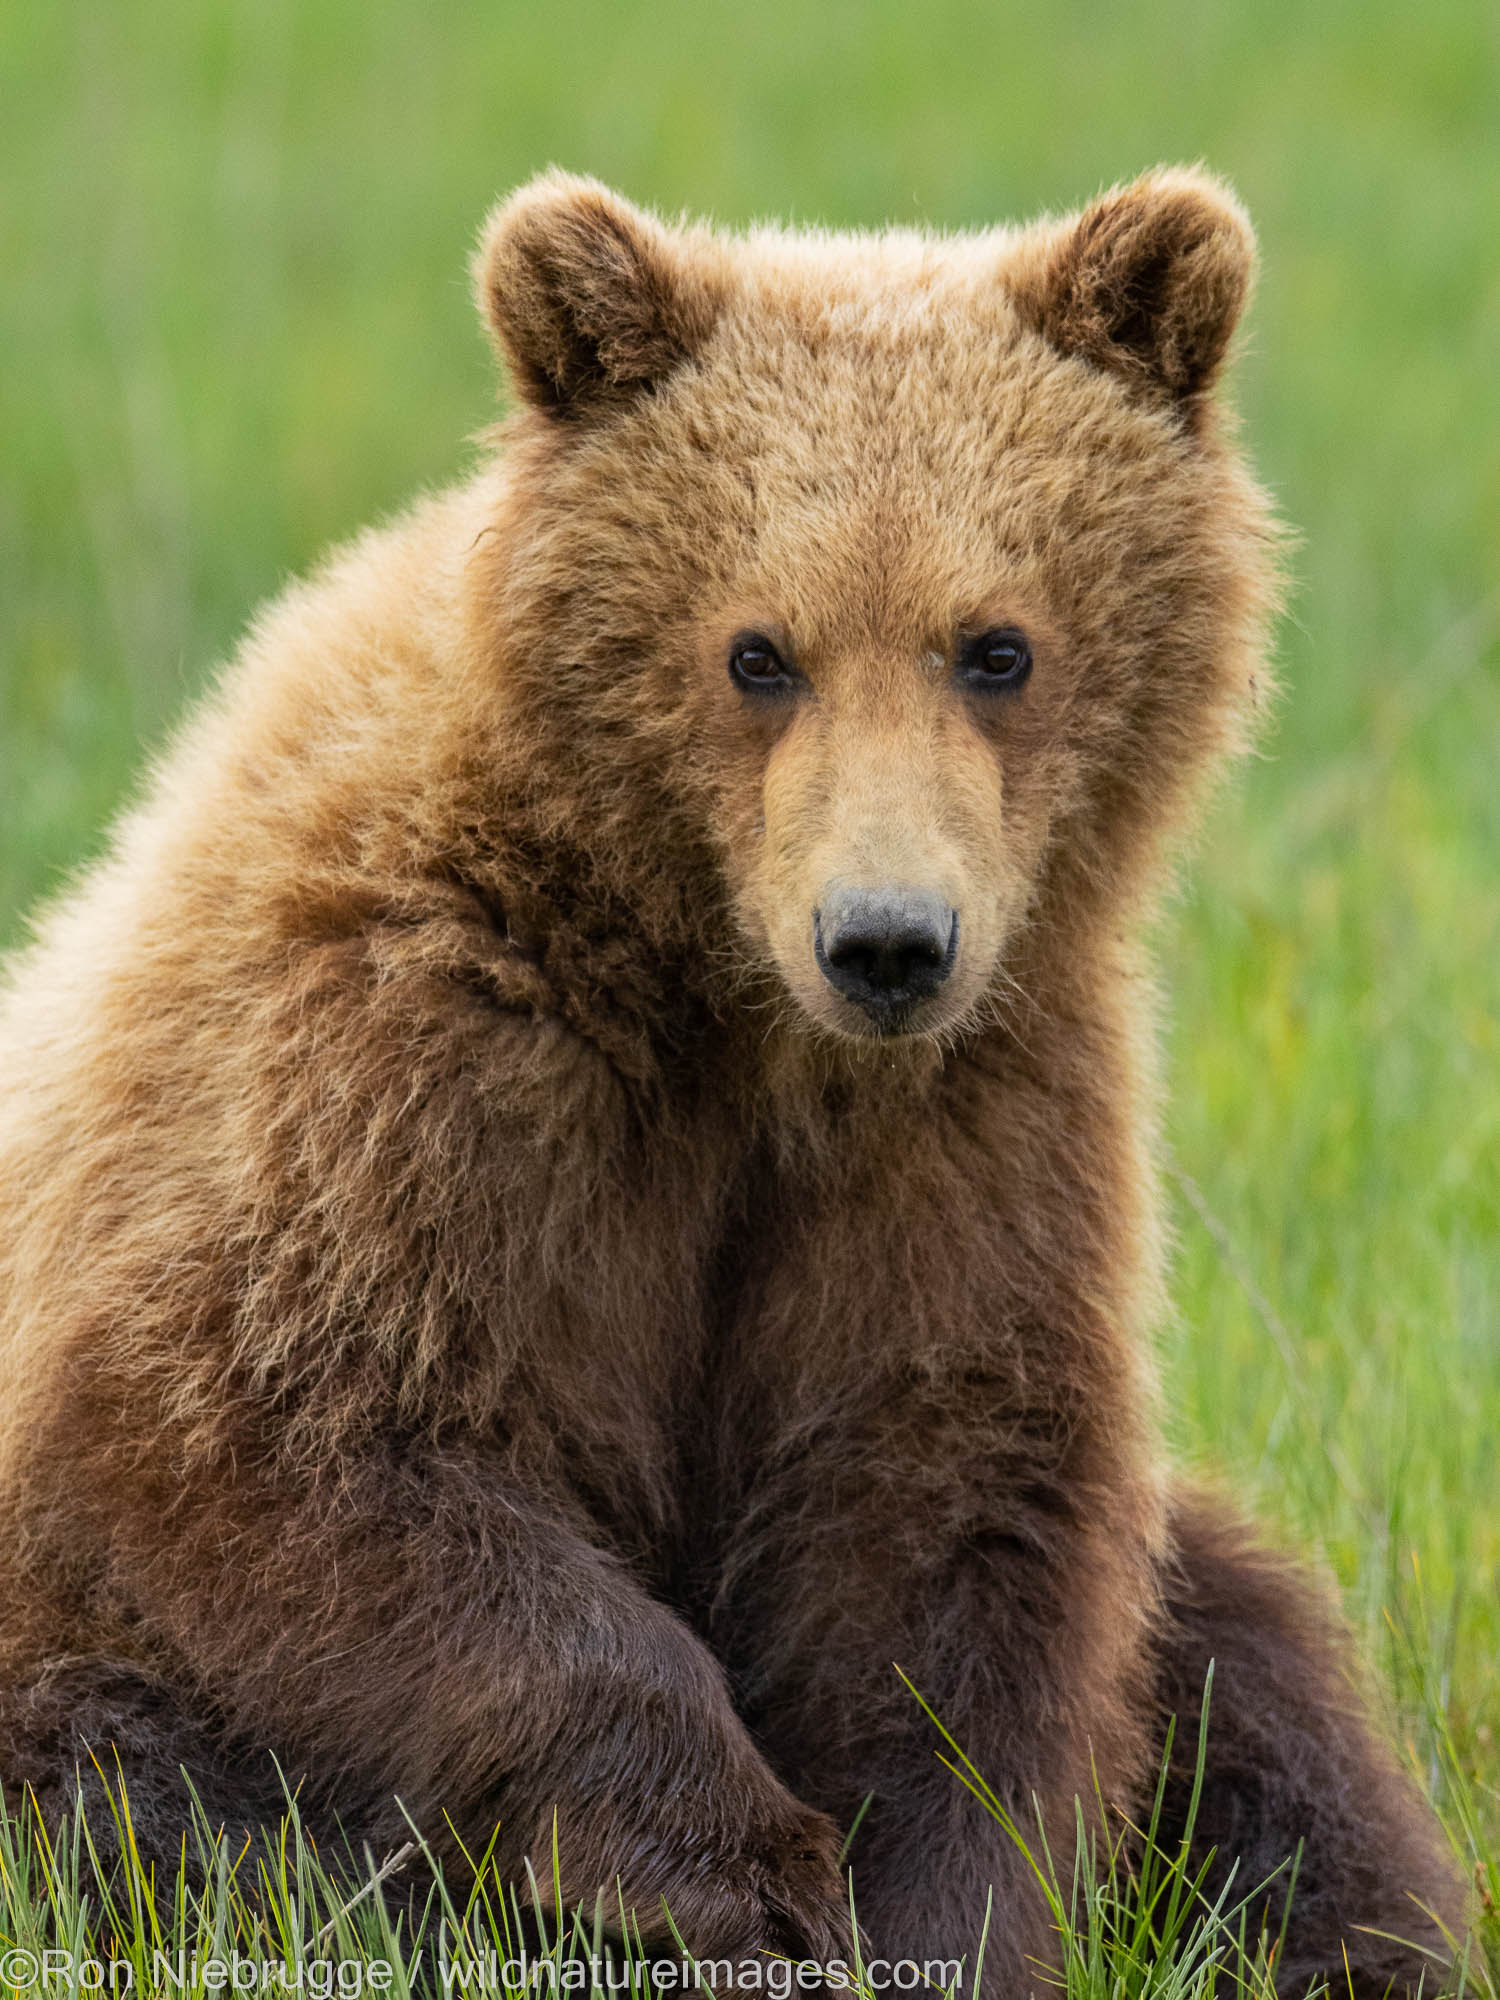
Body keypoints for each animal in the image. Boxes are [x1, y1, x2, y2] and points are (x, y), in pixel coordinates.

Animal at [0, 168, 1472, 1984]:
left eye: (997, 646)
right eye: (757, 651)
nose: (887, 941)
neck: (722, 1003)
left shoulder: (972, 1125)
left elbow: (940, 1519)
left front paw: (924, 1918)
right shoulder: (393, 1065)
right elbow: (277, 1434)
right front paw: (738, 1872)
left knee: (1261, 1689)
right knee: (137, 1793)